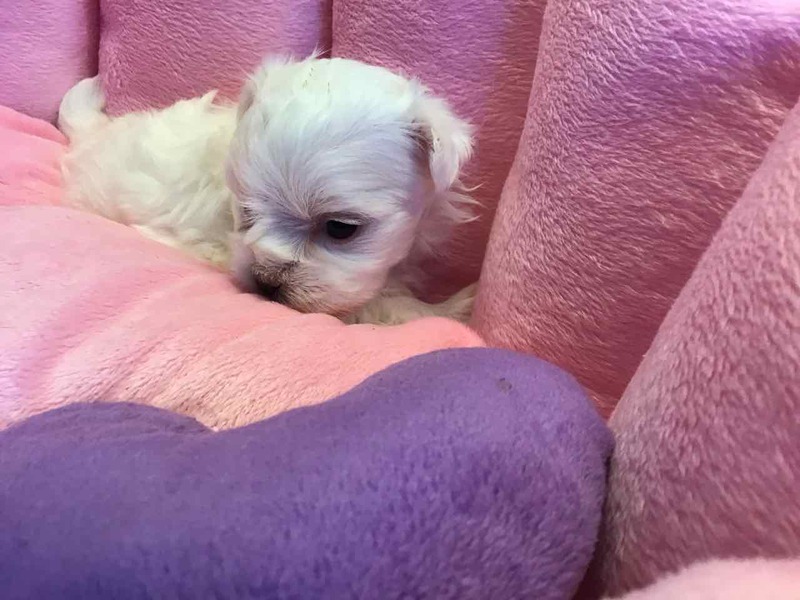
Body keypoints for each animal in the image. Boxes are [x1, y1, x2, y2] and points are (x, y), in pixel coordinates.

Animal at [58, 55, 478, 325]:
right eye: (245, 211)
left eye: (340, 228)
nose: (265, 280)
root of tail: (95, 135)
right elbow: (386, 307)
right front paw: (453, 308)